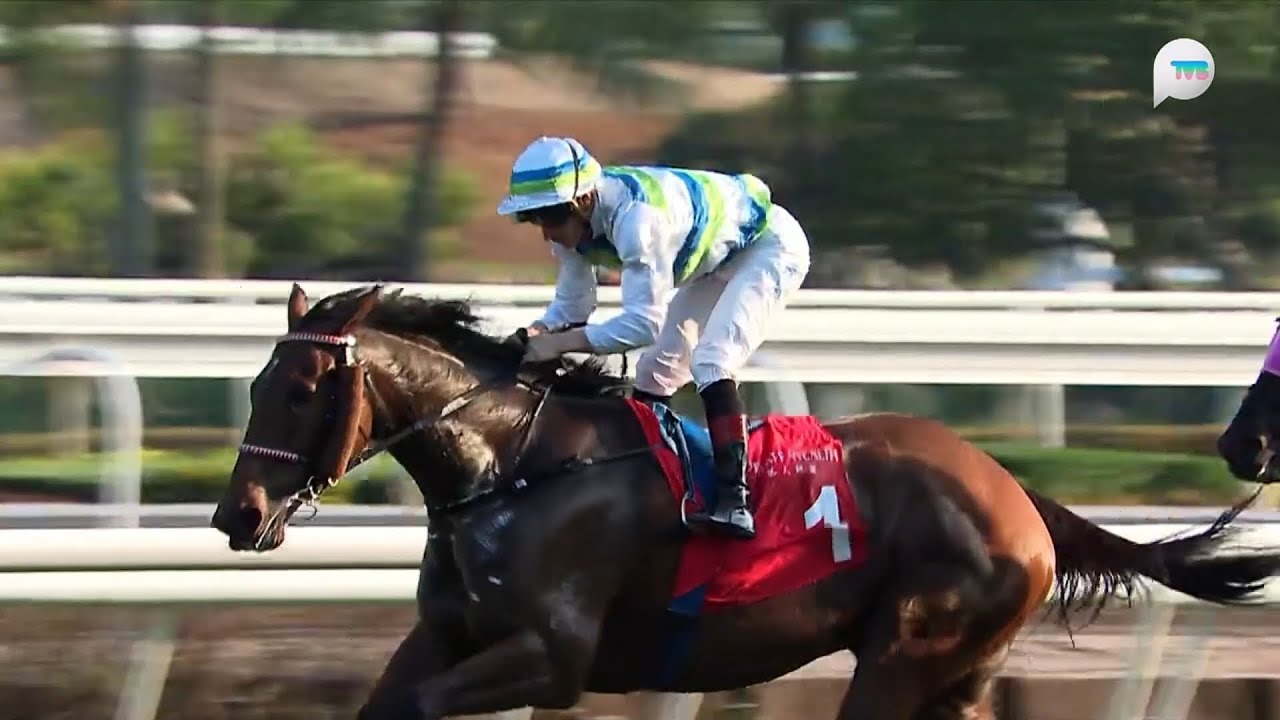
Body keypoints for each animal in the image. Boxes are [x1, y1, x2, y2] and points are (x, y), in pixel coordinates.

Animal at [211, 283, 1280, 720]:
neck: (511, 468)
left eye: (301, 390)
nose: (237, 515)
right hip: (963, 673)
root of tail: (1015, 491)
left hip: (906, 654)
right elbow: (392, 701)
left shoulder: (552, 657)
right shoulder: (446, 637)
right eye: (257, 382)